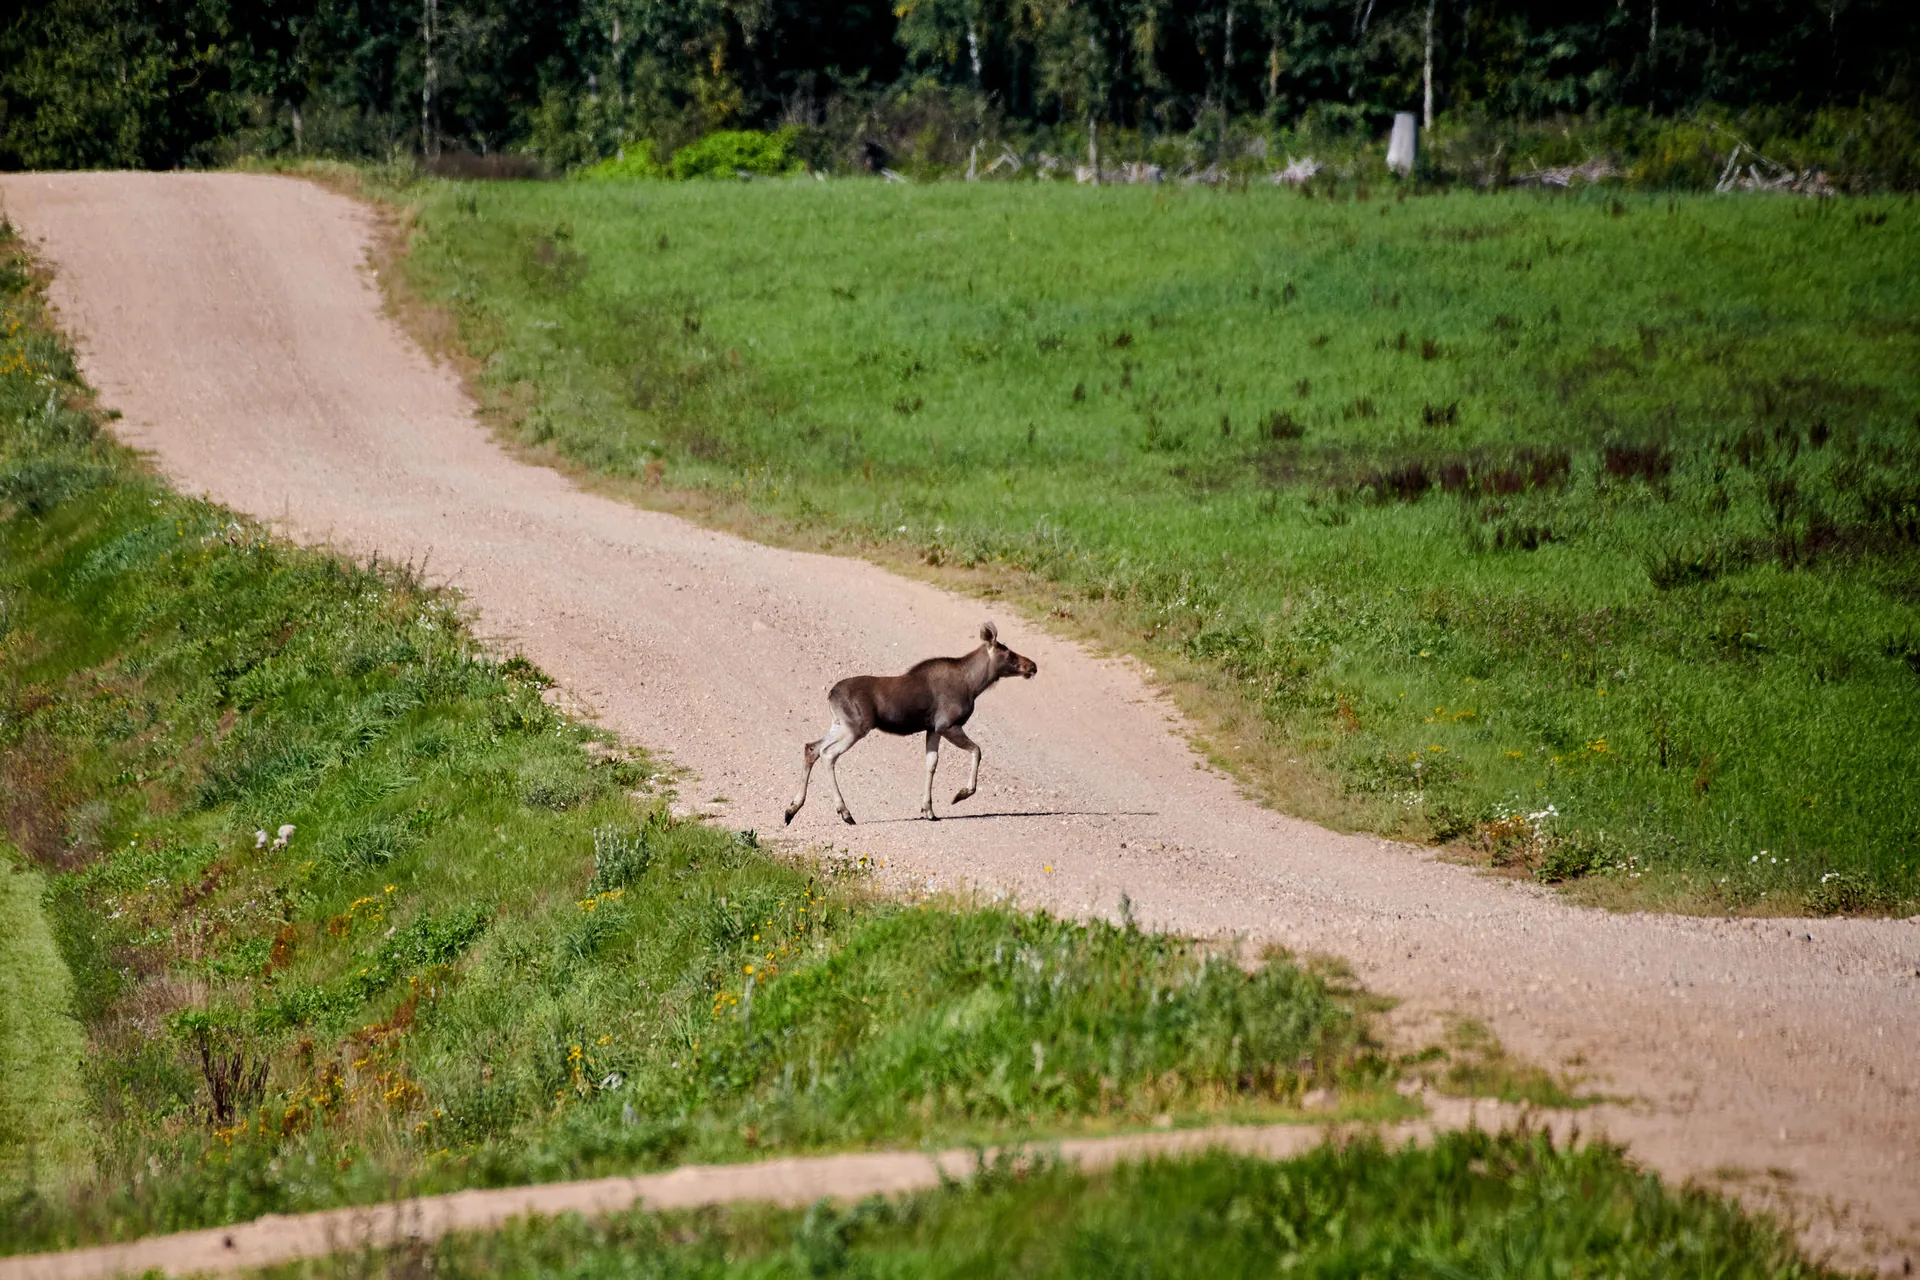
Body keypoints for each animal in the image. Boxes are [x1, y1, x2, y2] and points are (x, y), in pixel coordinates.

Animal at [784, 622, 1038, 826]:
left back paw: (791, 809)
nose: (1032, 666)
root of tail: (831, 695)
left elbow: (931, 763)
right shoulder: (948, 725)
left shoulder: (932, 729)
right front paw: (961, 794)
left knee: (812, 747)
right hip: (856, 727)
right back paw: (845, 813)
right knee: (828, 754)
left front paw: (929, 810)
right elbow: (977, 750)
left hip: (840, 724)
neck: (974, 685)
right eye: (1009, 655)